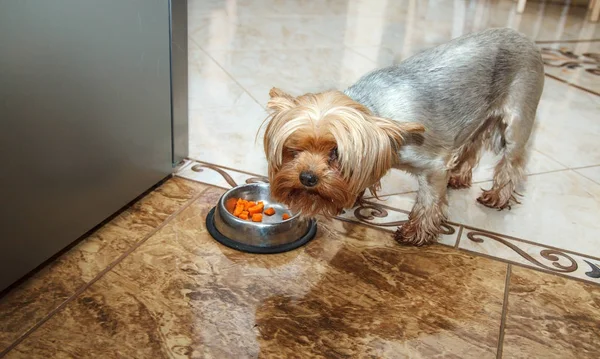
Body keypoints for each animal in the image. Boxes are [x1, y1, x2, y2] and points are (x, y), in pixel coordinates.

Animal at [262, 28, 544, 248]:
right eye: (293, 149)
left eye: (336, 153)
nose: (307, 178)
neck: (373, 111)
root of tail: (525, 38)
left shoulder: (433, 165)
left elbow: (429, 200)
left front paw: (416, 232)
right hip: (477, 115)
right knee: (472, 145)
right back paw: (460, 176)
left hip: (519, 113)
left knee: (513, 160)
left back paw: (498, 196)